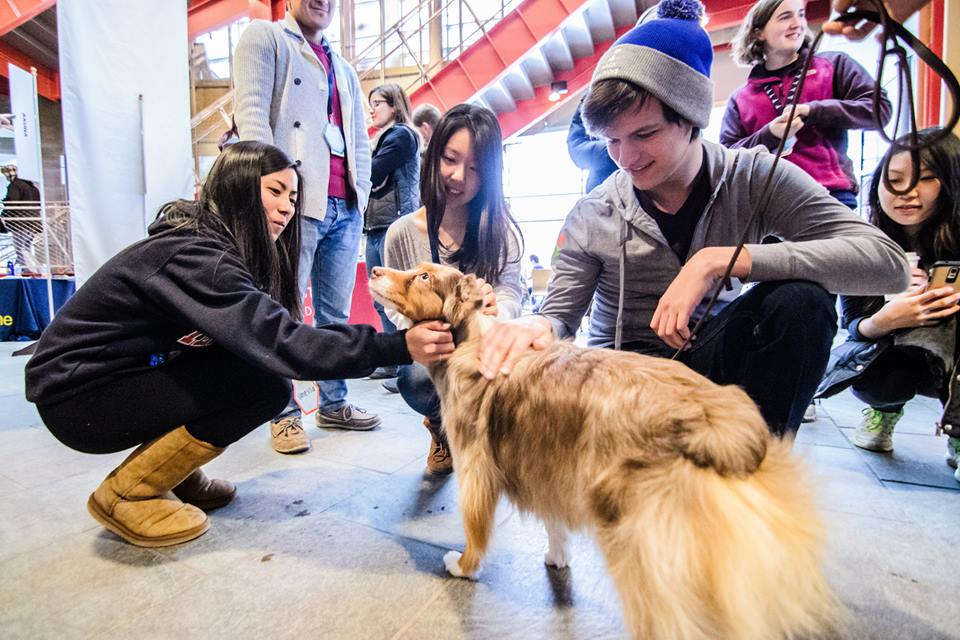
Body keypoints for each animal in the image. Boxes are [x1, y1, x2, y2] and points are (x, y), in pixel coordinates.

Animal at [368, 262, 840, 636]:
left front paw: (463, 566)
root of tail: (717, 422)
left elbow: (475, 530)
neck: (469, 339)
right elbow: (554, 520)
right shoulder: (550, 461)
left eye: (423, 276)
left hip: (640, 548)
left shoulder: (477, 470)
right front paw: (557, 557)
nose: (372, 270)